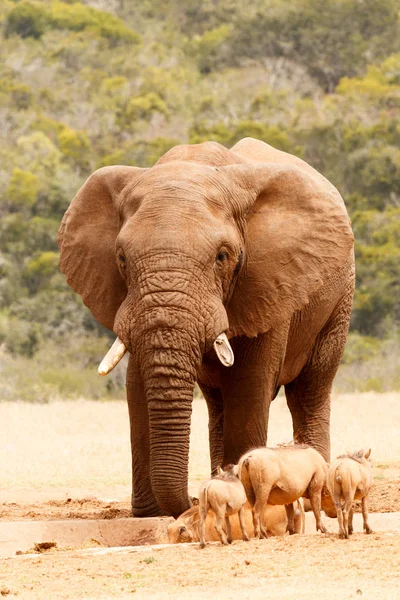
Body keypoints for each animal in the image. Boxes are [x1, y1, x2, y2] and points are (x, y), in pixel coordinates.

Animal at [58, 135, 354, 516]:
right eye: (121, 258)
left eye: (222, 257)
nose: (193, 500)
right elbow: (137, 387)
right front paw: (151, 513)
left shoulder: (269, 281)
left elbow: (248, 385)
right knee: (218, 405)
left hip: (338, 299)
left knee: (310, 391)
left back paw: (319, 500)